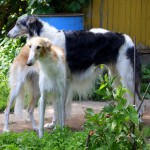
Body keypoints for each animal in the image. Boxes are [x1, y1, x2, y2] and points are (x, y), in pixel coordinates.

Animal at [7, 14, 142, 128]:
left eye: (18, 23)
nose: (7, 35)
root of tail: (128, 39)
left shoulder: (64, 81)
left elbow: (61, 106)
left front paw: (60, 127)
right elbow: (56, 107)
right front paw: (53, 124)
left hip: (128, 78)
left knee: (139, 99)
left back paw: (138, 121)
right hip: (116, 76)